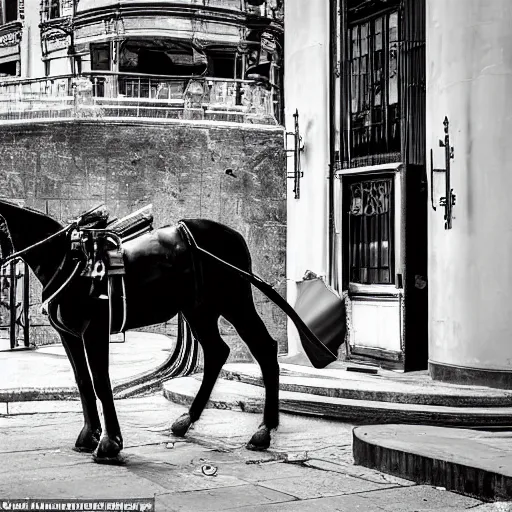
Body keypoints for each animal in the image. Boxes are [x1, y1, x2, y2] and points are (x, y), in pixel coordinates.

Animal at [0, 201, 336, 464]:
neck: (67, 258)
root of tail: (234, 236)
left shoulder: (93, 331)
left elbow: (100, 383)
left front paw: (109, 444)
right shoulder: (70, 334)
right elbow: (83, 382)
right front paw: (89, 436)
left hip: (235, 301)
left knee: (264, 348)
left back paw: (264, 430)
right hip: (199, 309)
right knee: (217, 352)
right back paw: (187, 420)